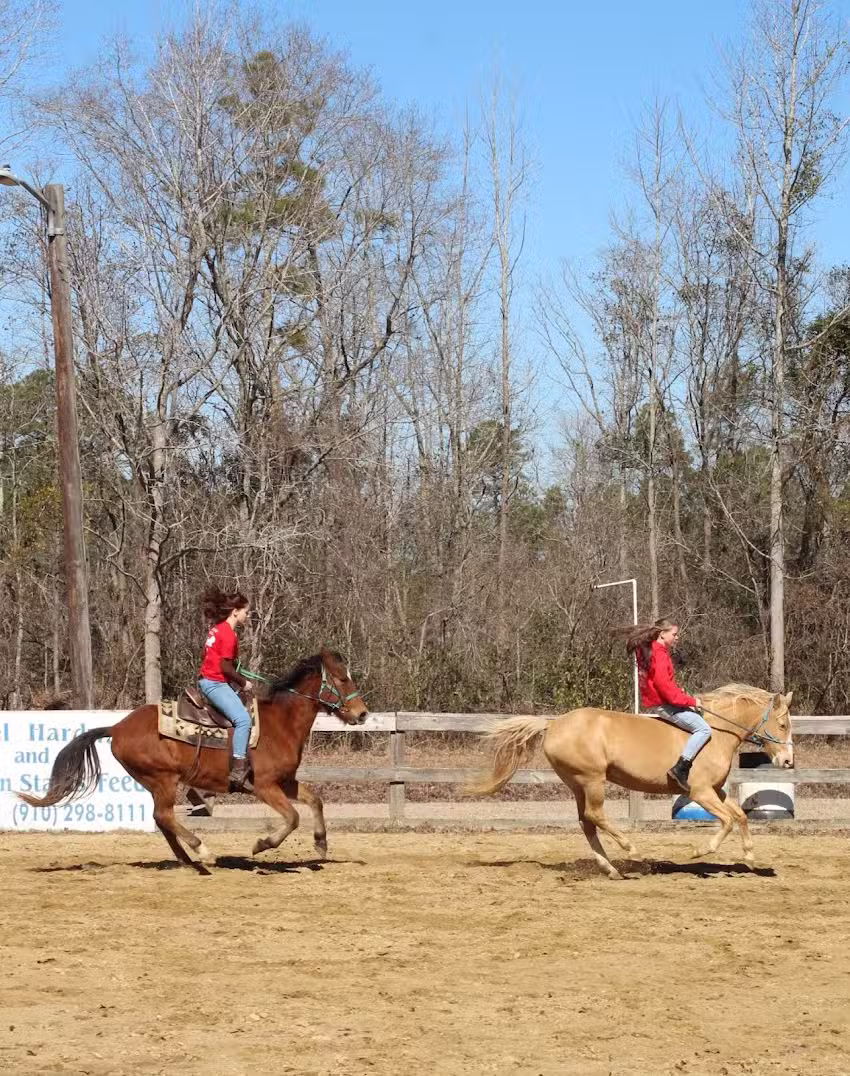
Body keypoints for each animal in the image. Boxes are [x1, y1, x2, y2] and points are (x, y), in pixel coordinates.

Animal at [19, 649, 368, 872]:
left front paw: (321, 843)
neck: (279, 724)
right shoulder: (264, 786)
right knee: (164, 816)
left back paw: (188, 860)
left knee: (163, 820)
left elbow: (316, 800)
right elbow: (293, 818)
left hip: (155, 782)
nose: (362, 713)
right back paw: (203, 851)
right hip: (163, 778)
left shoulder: (286, 782)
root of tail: (117, 727)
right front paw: (261, 844)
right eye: (341, 679)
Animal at [468, 684, 794, 879]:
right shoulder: (701, 793)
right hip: (592, 780)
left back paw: (611, 868)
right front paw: (699, 851)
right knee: (596, 816)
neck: (716, 733)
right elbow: (727, 821)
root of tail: (554, 723)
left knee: (586, 823)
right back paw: (632, 852)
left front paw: (750, 858)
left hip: (577, 784)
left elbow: (740, 816)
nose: (788, 762)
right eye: (782, 724)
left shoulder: (715, 791)